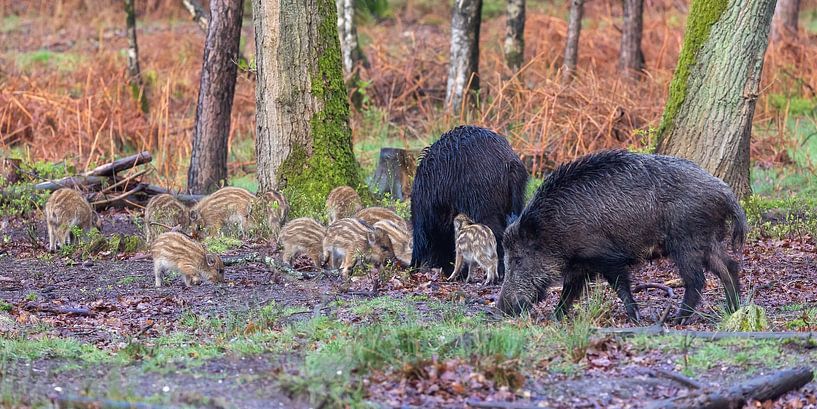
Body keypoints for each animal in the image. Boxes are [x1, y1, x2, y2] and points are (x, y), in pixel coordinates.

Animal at [498, 150, 747, 324]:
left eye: (518, 259)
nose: (501, 309)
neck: (553, 229)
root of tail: (725, 193)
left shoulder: (605, 257)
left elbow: (620, 286)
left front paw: (634, 318)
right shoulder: (580, 264)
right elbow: (569, 292)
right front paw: (555, 317)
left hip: (686, 241)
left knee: (697, 279)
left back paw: (678, 319)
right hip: (707, 239)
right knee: (729, 267)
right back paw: (732, 309)